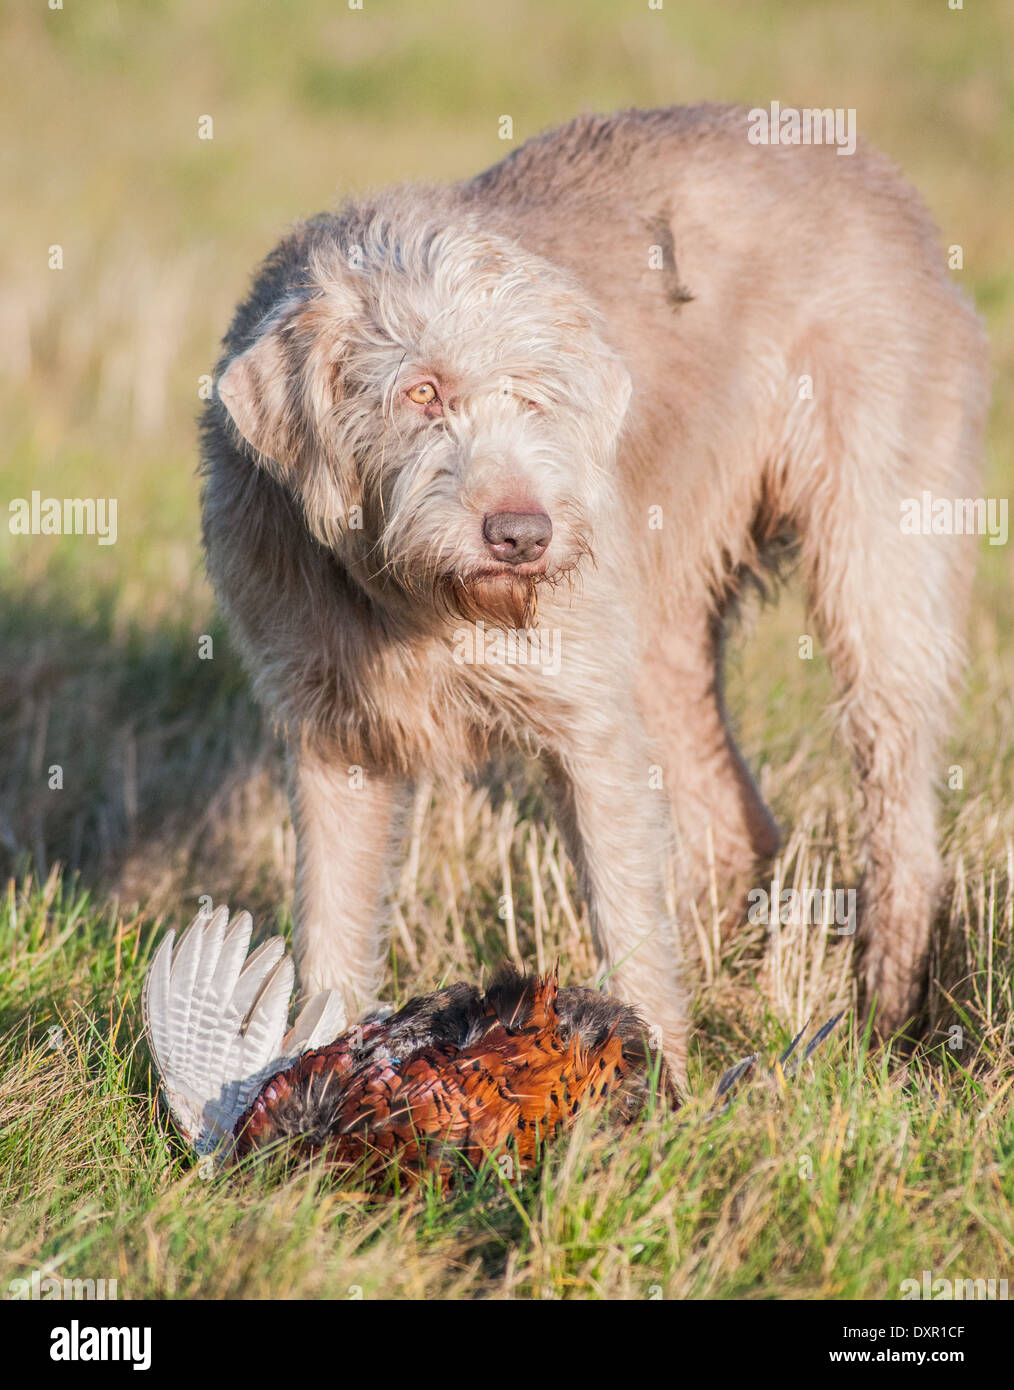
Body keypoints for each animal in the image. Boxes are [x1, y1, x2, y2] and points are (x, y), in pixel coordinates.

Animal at [200, 102, 990, 1089]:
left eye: (539, 398)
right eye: (421, 392)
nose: (521, 534)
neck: (414, 598)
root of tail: (874, 169)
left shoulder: (589, 724)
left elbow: (623, 912)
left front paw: (652, 1090)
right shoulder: (330, 738)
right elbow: (330, 928)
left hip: (874, 557)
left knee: (894, 778)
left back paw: (886, 1010)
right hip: (664, 630)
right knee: (731, 821)